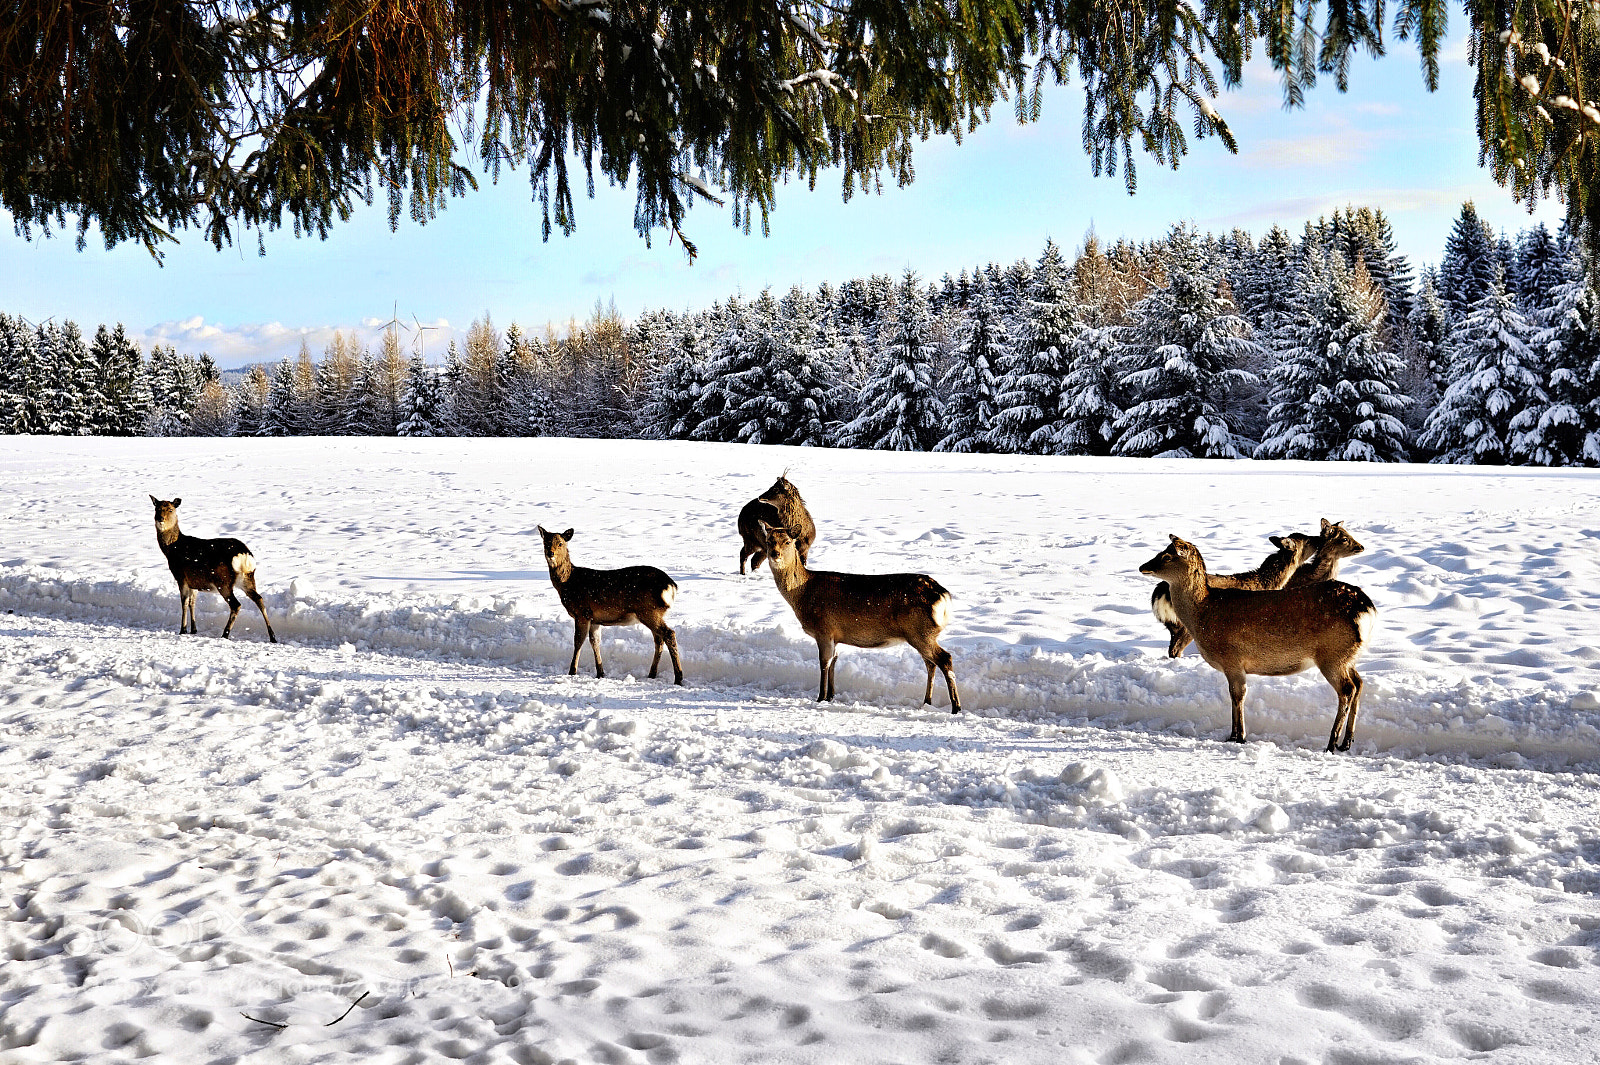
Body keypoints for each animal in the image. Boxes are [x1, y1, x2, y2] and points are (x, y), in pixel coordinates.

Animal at [149, 496, 277, 642]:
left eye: (170, 509)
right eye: (157, 508)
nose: (160, 518)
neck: (171, 549)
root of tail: (245, 556)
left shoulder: (181, 576)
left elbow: (184, 602)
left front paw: (182, 630)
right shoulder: (194, 581)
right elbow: (192, 602)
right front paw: (193, 630)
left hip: (223, 581)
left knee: (236, 604)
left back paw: (225, 634)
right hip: (248, 579)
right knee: (259, 599)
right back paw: (272, 636)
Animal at [537, 526, 683, 685]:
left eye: (560, 543)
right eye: (546, 542)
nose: (550, 553)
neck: (568, 583)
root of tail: (671, 585)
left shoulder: (582, 612)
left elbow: (578, 641)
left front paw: (572, 671)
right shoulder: (594, 618)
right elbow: (595, 641)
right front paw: (600, 672)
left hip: (648, 610)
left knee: (669, 633)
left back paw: (678, 677)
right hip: (652, 612)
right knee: (659, 638)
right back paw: (652, 674)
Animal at [757, 519, 961, 713]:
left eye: (787, 541)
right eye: (769, 540)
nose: (775, 554)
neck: (803, 594)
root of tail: (943, 596)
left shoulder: (823, 629)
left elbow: (824, 663)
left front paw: (820, 698)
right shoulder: (836, 635)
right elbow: (834, 661)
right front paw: (831, 695)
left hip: (920, 631)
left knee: (945, 658)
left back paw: (956, 707)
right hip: (922, 633)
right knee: (930, 663)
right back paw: (927, 701)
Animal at [1151, 531, 1324, 658]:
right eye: (1307, 540)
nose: (1320, 538)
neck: (1266, 583)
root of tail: (1160, 593)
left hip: (1172, 625)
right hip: (1187, 626)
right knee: (1176, 649)